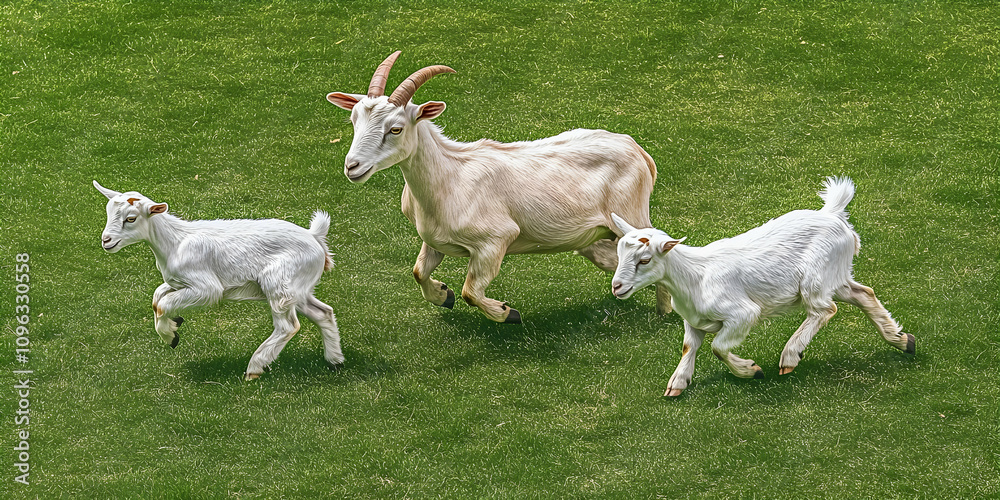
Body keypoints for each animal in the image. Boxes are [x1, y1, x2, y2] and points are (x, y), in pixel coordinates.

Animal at [93, 181, 344, 379]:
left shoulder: (207, 288)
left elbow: (163, 304)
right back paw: (335, 361)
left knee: (287, 326)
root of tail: (315, 237)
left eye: (131, 219)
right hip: (297, 288)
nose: (106, 240)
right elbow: (157, 298)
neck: (174, 242)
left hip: (279, 282)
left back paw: (255, 367)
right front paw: (173, 328)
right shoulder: (177, 282)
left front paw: (170, 336)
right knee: (323, 313)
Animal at [326, 50, 669, 323]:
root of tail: (639, 151)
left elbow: (470, 290)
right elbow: (418, 271)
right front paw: (443, 295)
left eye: (395, 129)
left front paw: (508, 313)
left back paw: (664, 312)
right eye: (354, 121)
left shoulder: (495, 240)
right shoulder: (435, 239)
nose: (352, 166)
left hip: (631, 213)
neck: (449, 177)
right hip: (596, 238)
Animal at [610, 177, 914, 396]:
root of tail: (833, 214)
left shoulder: (742, 314)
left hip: (816, 277)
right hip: (835, 275)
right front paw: (677, 384)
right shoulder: (693, 320)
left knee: (824, 310)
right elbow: (688, 346)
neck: (695, 276)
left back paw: (791, 356)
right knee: (863, 294)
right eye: (619, 253)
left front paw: (751, 370)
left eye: (645, 260)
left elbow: (718, 347)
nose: (617, 286)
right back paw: (901, 340)